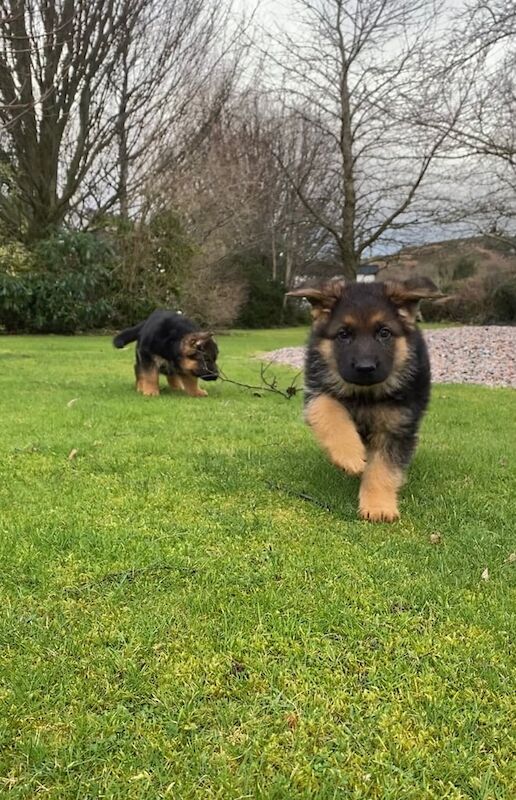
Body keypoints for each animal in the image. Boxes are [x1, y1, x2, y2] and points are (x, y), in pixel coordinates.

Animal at [288, 278, 442, 520]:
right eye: (343, 334)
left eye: (384, 333)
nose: (365, 367)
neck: (364, 394)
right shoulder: (316, 392)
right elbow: (329, 411)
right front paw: (349, 455)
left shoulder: (396, 426)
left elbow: (383, 468)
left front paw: (378, 506)